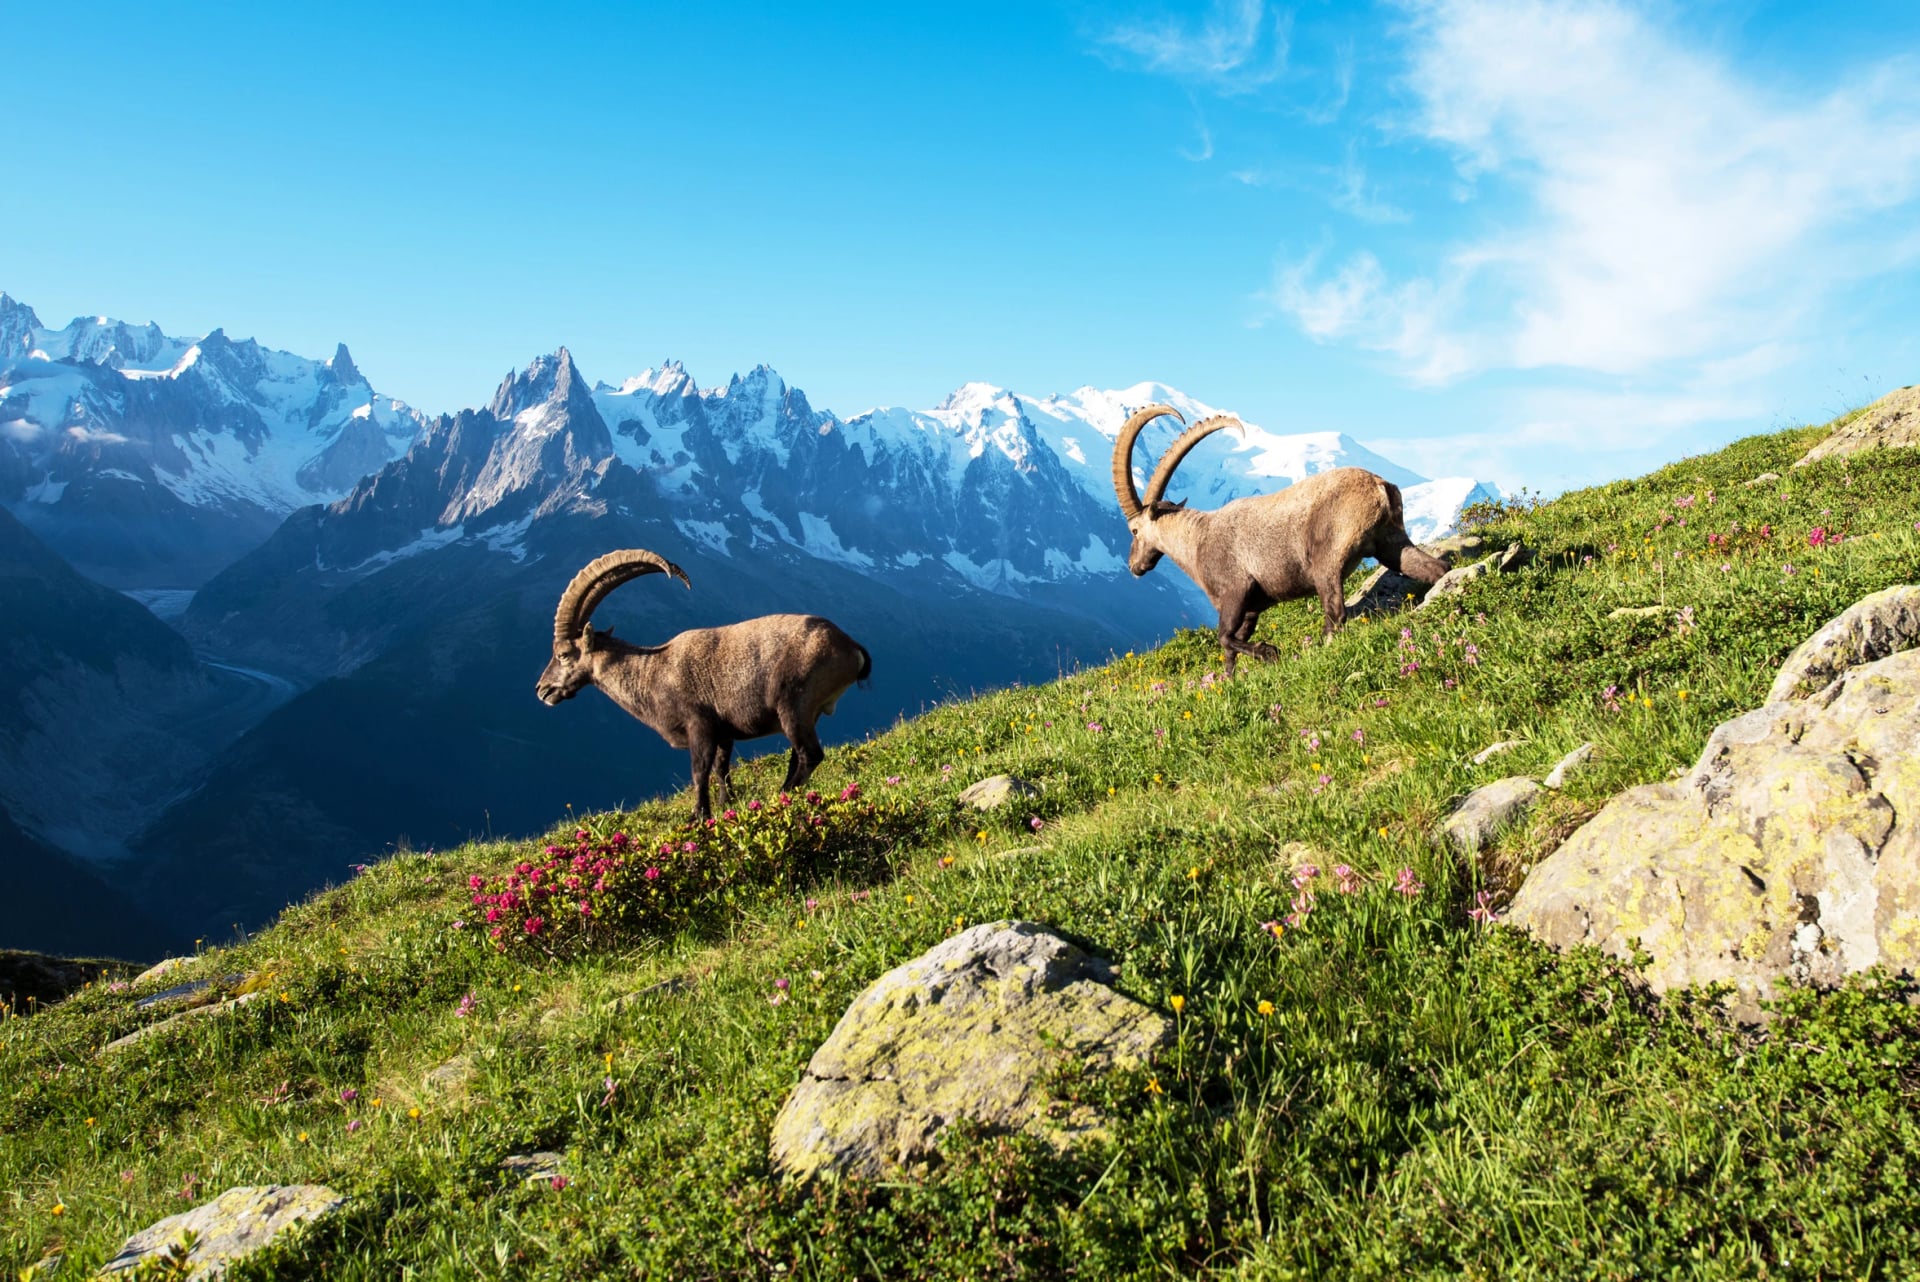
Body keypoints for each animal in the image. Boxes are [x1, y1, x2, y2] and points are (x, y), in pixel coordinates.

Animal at [535, 548, 871, 820]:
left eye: (563, 654)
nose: (542, 690)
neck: (651, 672)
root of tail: (850, 646)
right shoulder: (725, 733)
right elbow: (721, 769)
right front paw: (725, 804)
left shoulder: (700, 727)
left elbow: (699, 772)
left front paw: (699, 816)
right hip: (806, 714)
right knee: (797, 756)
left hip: (793, 705)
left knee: (809, 754)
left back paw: (783, 795)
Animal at [1111, 404, 1448, 676]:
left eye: (1135, 531)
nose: (1134, 566)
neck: (1196, 540)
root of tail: (1379, 485)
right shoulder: (1252, 608)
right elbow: (1230, 648)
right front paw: (1230, 680)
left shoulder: (1235, 591)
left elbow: (1224, 637)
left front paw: (1269, 652)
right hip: (1391, 542)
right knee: (1433, 569)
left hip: (1327, 561)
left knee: (1335, 612)